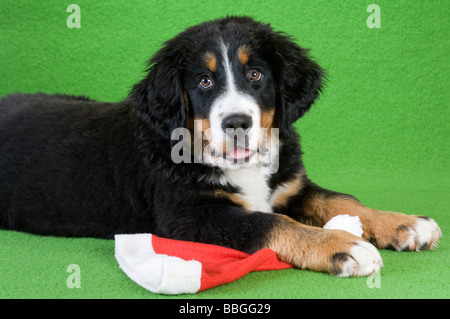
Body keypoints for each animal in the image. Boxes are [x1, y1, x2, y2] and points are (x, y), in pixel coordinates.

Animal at [0, 16, 442, 278]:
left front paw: (403, 223)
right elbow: (270, 223)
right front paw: (341, 245)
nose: (237, 123)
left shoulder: (290, 184)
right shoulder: (189, 216)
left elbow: (341, 200)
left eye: (256, 74)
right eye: (204, 82)